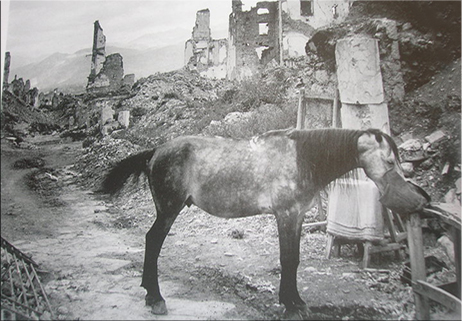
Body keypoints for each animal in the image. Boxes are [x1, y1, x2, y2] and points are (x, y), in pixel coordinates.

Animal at [101, 127, 430, 318]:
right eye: (390, 161)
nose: (418, 200)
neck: (302, 159)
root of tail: (155, 151)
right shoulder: (286, 215)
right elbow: (288, 259)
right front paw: (292, 305)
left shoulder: (296, 217)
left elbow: (293, 260)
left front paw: (294, 301)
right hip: (169, 210)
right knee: (153, 242)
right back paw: (155, 298)